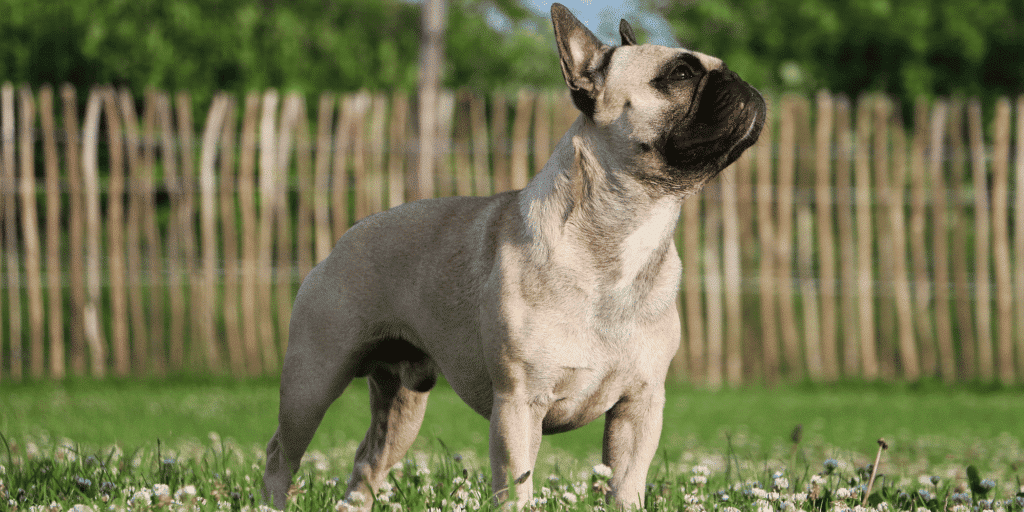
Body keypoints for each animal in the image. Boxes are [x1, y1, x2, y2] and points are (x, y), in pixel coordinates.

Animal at [262, 3, 761, 507]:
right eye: (680, 74)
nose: (741, 79)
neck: (627, 229)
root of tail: (346, 235)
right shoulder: (519, 405)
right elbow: (518, 486)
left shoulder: (639, 405)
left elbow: (625, 486)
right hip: (312, 380)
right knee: (280, 454)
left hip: (402, 404)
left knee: (367, 461)